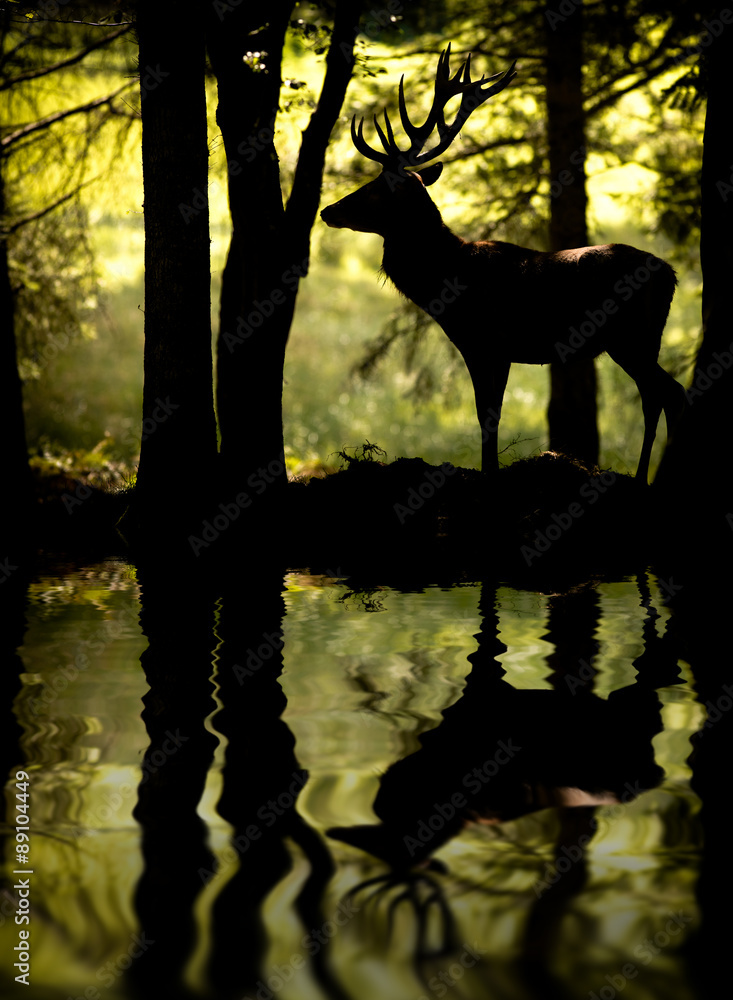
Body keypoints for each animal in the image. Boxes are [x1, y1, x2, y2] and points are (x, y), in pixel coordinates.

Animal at [320, 45, 686, 482]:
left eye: (376, 189)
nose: (327, 211)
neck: (445, 281)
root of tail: (671, 275)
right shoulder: (497, 349)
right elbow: (490, 413)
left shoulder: (485, 340)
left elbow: (487, 415)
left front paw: (489, 471)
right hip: (643, 339)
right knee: (663, 394)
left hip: (630, 336)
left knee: (665, 393)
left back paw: (649, 475)